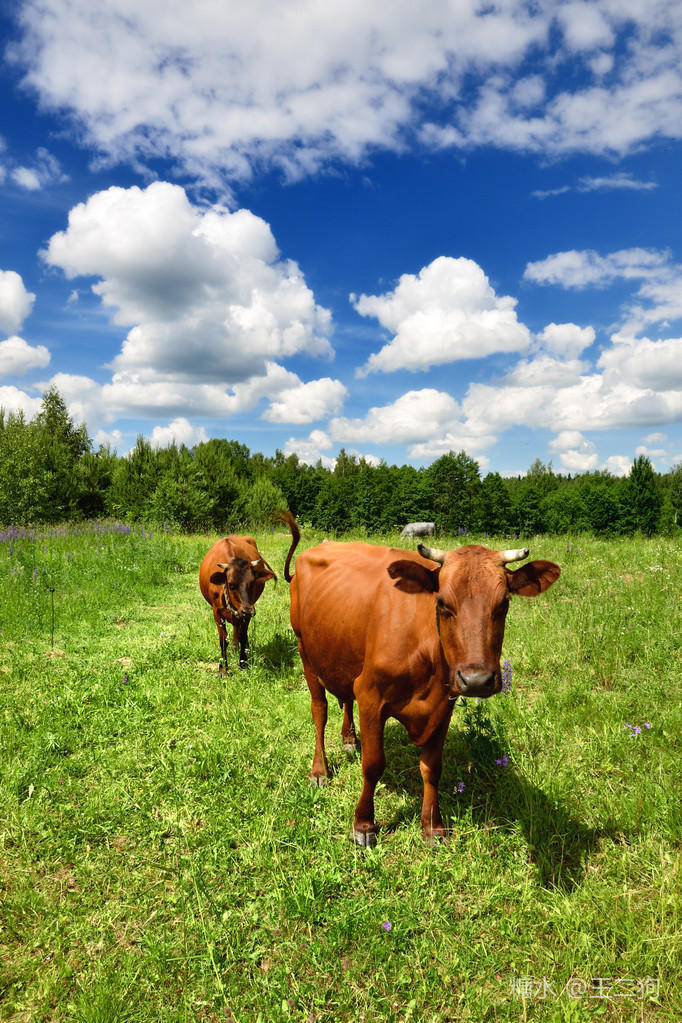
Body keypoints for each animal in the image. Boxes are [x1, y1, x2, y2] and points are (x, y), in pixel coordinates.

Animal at [200, 536, 278, 671]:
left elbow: (242, 634)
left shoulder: (247, 612)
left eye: (252, 583)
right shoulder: (216, 612)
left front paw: (243, 663)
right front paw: (223, 669)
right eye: (231, 584)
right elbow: (223, 640)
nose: (247, 610)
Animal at [282, 519, 560, 847]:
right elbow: (373, 764)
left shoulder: (443, 705)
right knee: (319, 710)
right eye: (442, 604)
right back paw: (319, 770)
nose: (477, 680)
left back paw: (350, 739)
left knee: (344, 698)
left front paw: (432, 826)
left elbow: (432, 768)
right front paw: (363, 824)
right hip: (305, 652)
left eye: (503, 604)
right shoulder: (370, 694)